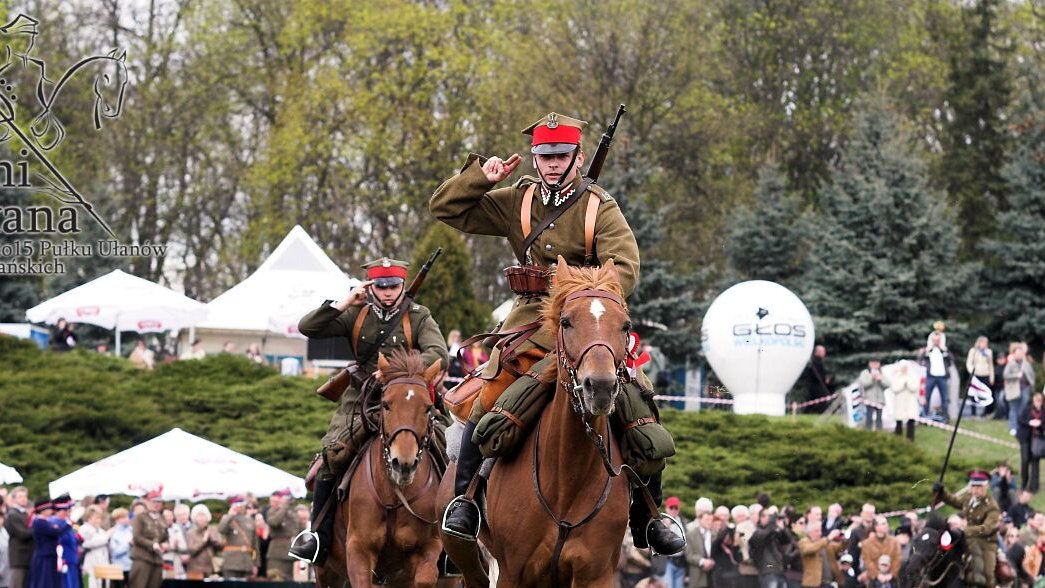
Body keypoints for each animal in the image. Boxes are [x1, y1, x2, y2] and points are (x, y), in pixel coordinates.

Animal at [317, 348, 449, 588]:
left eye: (427, 408)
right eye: (386, 404)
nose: (403, 464)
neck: (394, 496)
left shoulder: (428, 548)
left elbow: (425, 578)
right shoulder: (359, 551)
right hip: (326, 571)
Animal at [438, 259, 627, 588]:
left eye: (625, 325)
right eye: (566, 321)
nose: (600, 386)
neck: (568, 475)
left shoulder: (595, 574)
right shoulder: (513, 572)